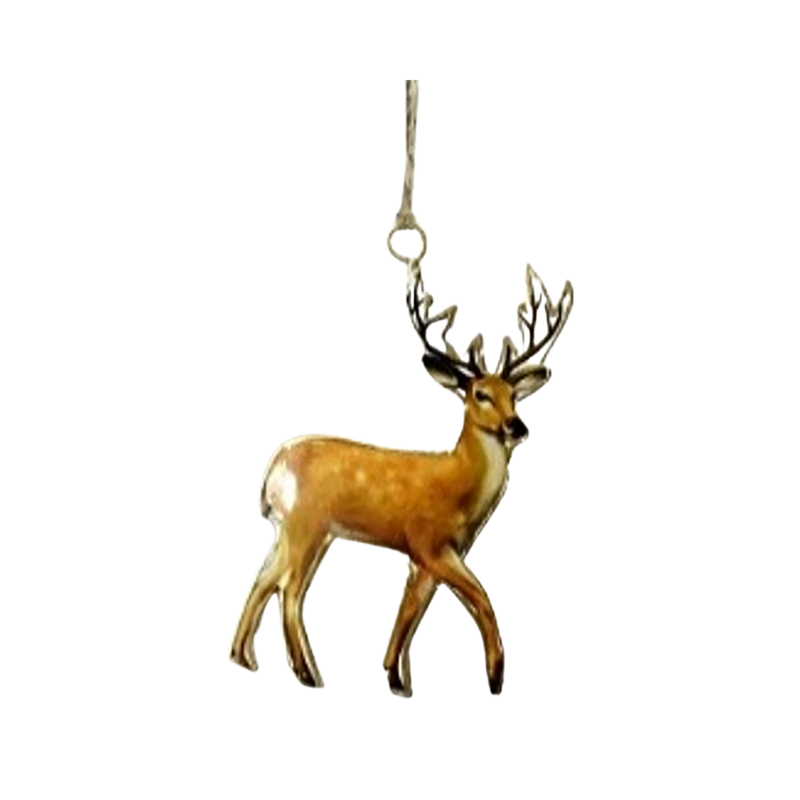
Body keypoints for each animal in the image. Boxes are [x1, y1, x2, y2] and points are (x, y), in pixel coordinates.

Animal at [230, 259, 573, 695]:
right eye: (480, 394)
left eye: (514, 396)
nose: (517, 426)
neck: (460, 486)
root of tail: (271, 475)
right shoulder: (430, 543)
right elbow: (482, 599)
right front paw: (495, 678)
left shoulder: (428, 558)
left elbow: (410, 611)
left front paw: (395, 677)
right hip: (307, 524)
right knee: (289, 590)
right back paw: (308, 675)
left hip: (295, 529)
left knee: (263, 579)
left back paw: (244, 658)